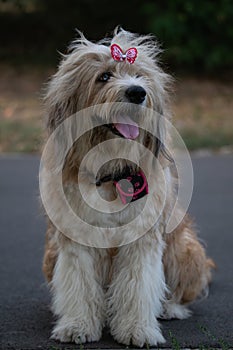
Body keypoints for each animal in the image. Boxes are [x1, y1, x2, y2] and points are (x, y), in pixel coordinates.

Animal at [40, 28, 215, 348]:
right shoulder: (75, 240)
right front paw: (77, 325)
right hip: (50, 255)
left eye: (139, 75)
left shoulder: (142, 239)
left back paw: (169, 307)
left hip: (186, 249)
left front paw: (137, 329)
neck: (111, 172)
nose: (137, 92)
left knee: (180, 292)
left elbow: (138, 286)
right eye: (104, 76)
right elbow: (79, 283)